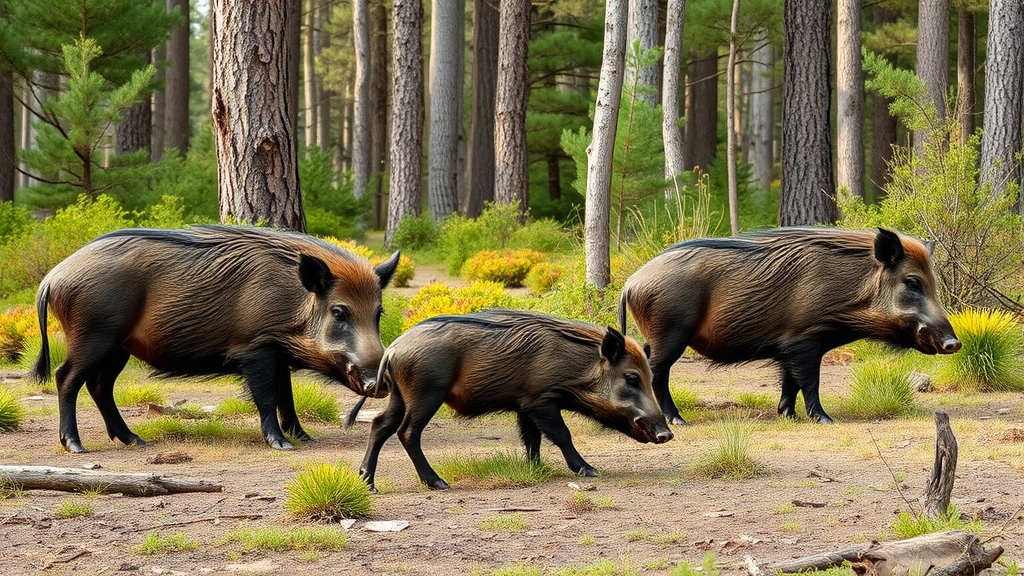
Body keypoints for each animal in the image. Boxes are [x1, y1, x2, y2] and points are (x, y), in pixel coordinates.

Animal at [31, 225, 399, 453]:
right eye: (339, 312)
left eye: (378, 313)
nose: (379, 383)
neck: (293, 303)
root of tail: (52, 278)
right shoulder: (256, 349)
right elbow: (267, 397)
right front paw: (282, 444)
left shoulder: (277, 352)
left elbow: (287, 397)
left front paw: (305, 438)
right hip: (93, 334)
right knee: (66, 377)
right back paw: (76, 446)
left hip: (118, 347)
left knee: (99, 386)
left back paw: (135, 440)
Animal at [351, 309, 674, 492]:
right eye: (632, 379)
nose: (667, 434)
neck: (576, 367)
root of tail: (393, 349)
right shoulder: (541, 401)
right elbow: (562, 435)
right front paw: (590, 470)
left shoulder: (524, 405)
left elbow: (531, 438)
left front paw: (536, 469)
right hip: (425, 393)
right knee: (406, 432)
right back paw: (439, 484)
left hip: (400, 396)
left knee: (380, 424)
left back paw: (369, 485)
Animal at [619, 227, 961, 425]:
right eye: (912, 282)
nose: (954, 343)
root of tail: (631, 283)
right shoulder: (804, 340)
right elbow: (809, 381)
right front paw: (825, 420)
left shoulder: (789, 347)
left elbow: (790, 382)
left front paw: (787, 415)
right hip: (670, 332)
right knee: (657, 372)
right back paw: (677, 421)